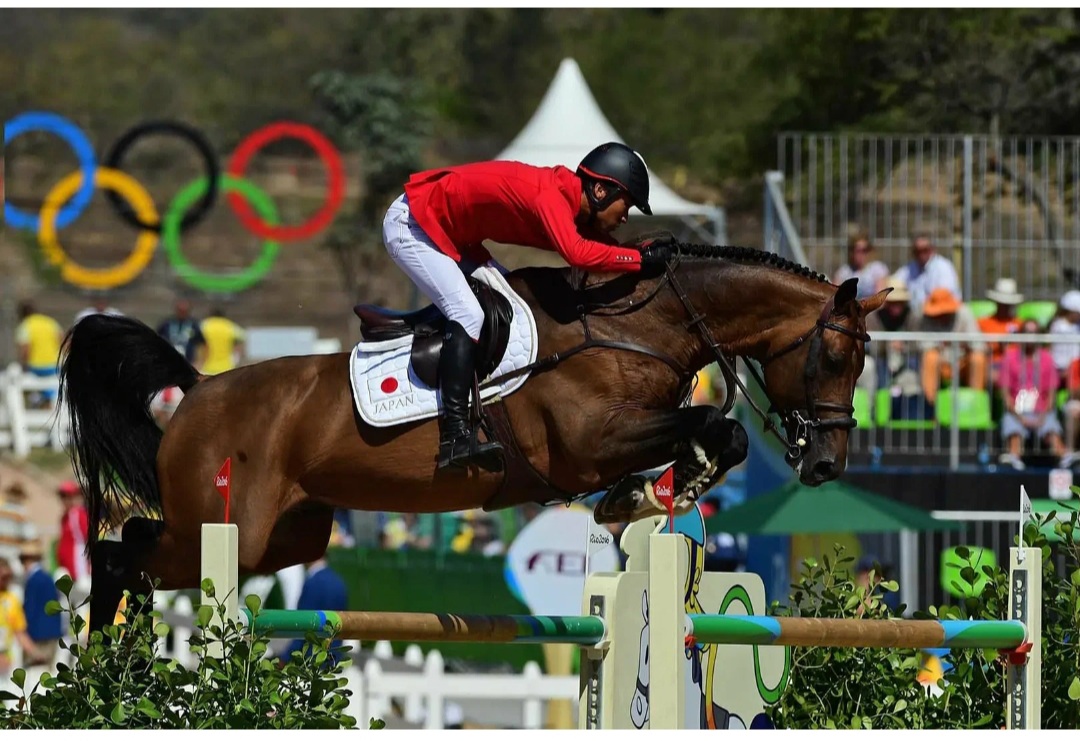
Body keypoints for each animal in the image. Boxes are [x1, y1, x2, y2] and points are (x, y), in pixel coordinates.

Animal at [58, 243, 889, 633]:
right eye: (835, 357)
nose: (827, 462)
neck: (634, 327)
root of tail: (197, 390)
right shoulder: (589, 440)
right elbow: (714, 425)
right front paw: (657, 486)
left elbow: (710, 434)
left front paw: (645, 493)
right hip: (223, 524)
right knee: (119, 552)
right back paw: (105, 668)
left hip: (285, 536)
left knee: (134, 551)